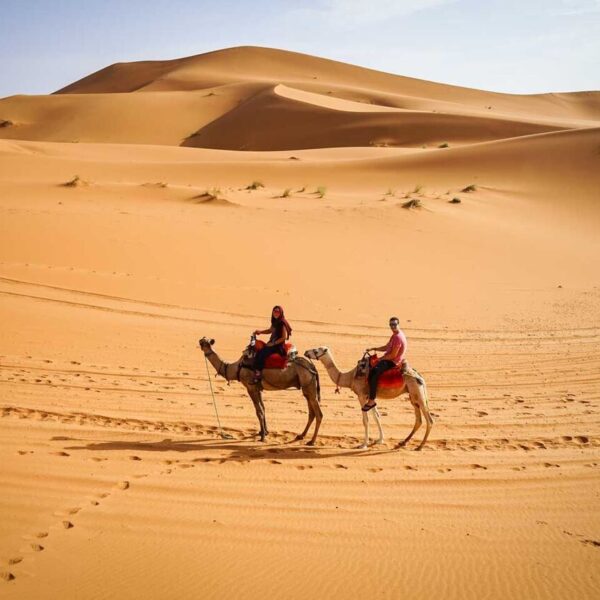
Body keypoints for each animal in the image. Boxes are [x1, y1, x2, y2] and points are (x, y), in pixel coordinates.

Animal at [302, 346, 434, 450]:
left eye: (316, 350)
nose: (306, 352)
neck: (350, 377)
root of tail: (420, 377)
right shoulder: (370, 398)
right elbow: (376, 416)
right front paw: (380, 440)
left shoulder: (361, 395)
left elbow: (366, 420)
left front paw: (363, 444)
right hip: (413, 396)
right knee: (418, 419)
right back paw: (403, 442)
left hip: (417, 392)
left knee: (429, 419)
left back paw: (420, 446)